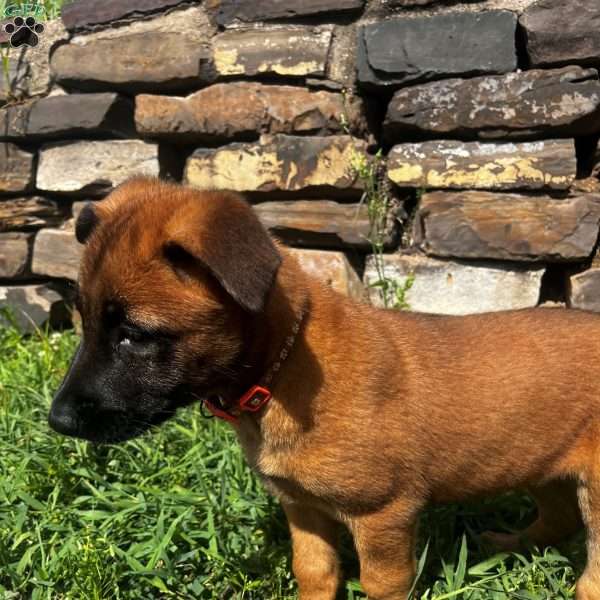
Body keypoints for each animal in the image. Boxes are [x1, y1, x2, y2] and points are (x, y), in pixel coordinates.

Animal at [50, 178, 600, 600]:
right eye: (84, 321)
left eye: (134, 335)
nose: (58, 422)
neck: (282, 371)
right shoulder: (303, 508)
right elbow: (314, 572)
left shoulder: (383, 515)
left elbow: (381, 585)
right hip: (540, 461)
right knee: (558, 518)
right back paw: (507, 545)